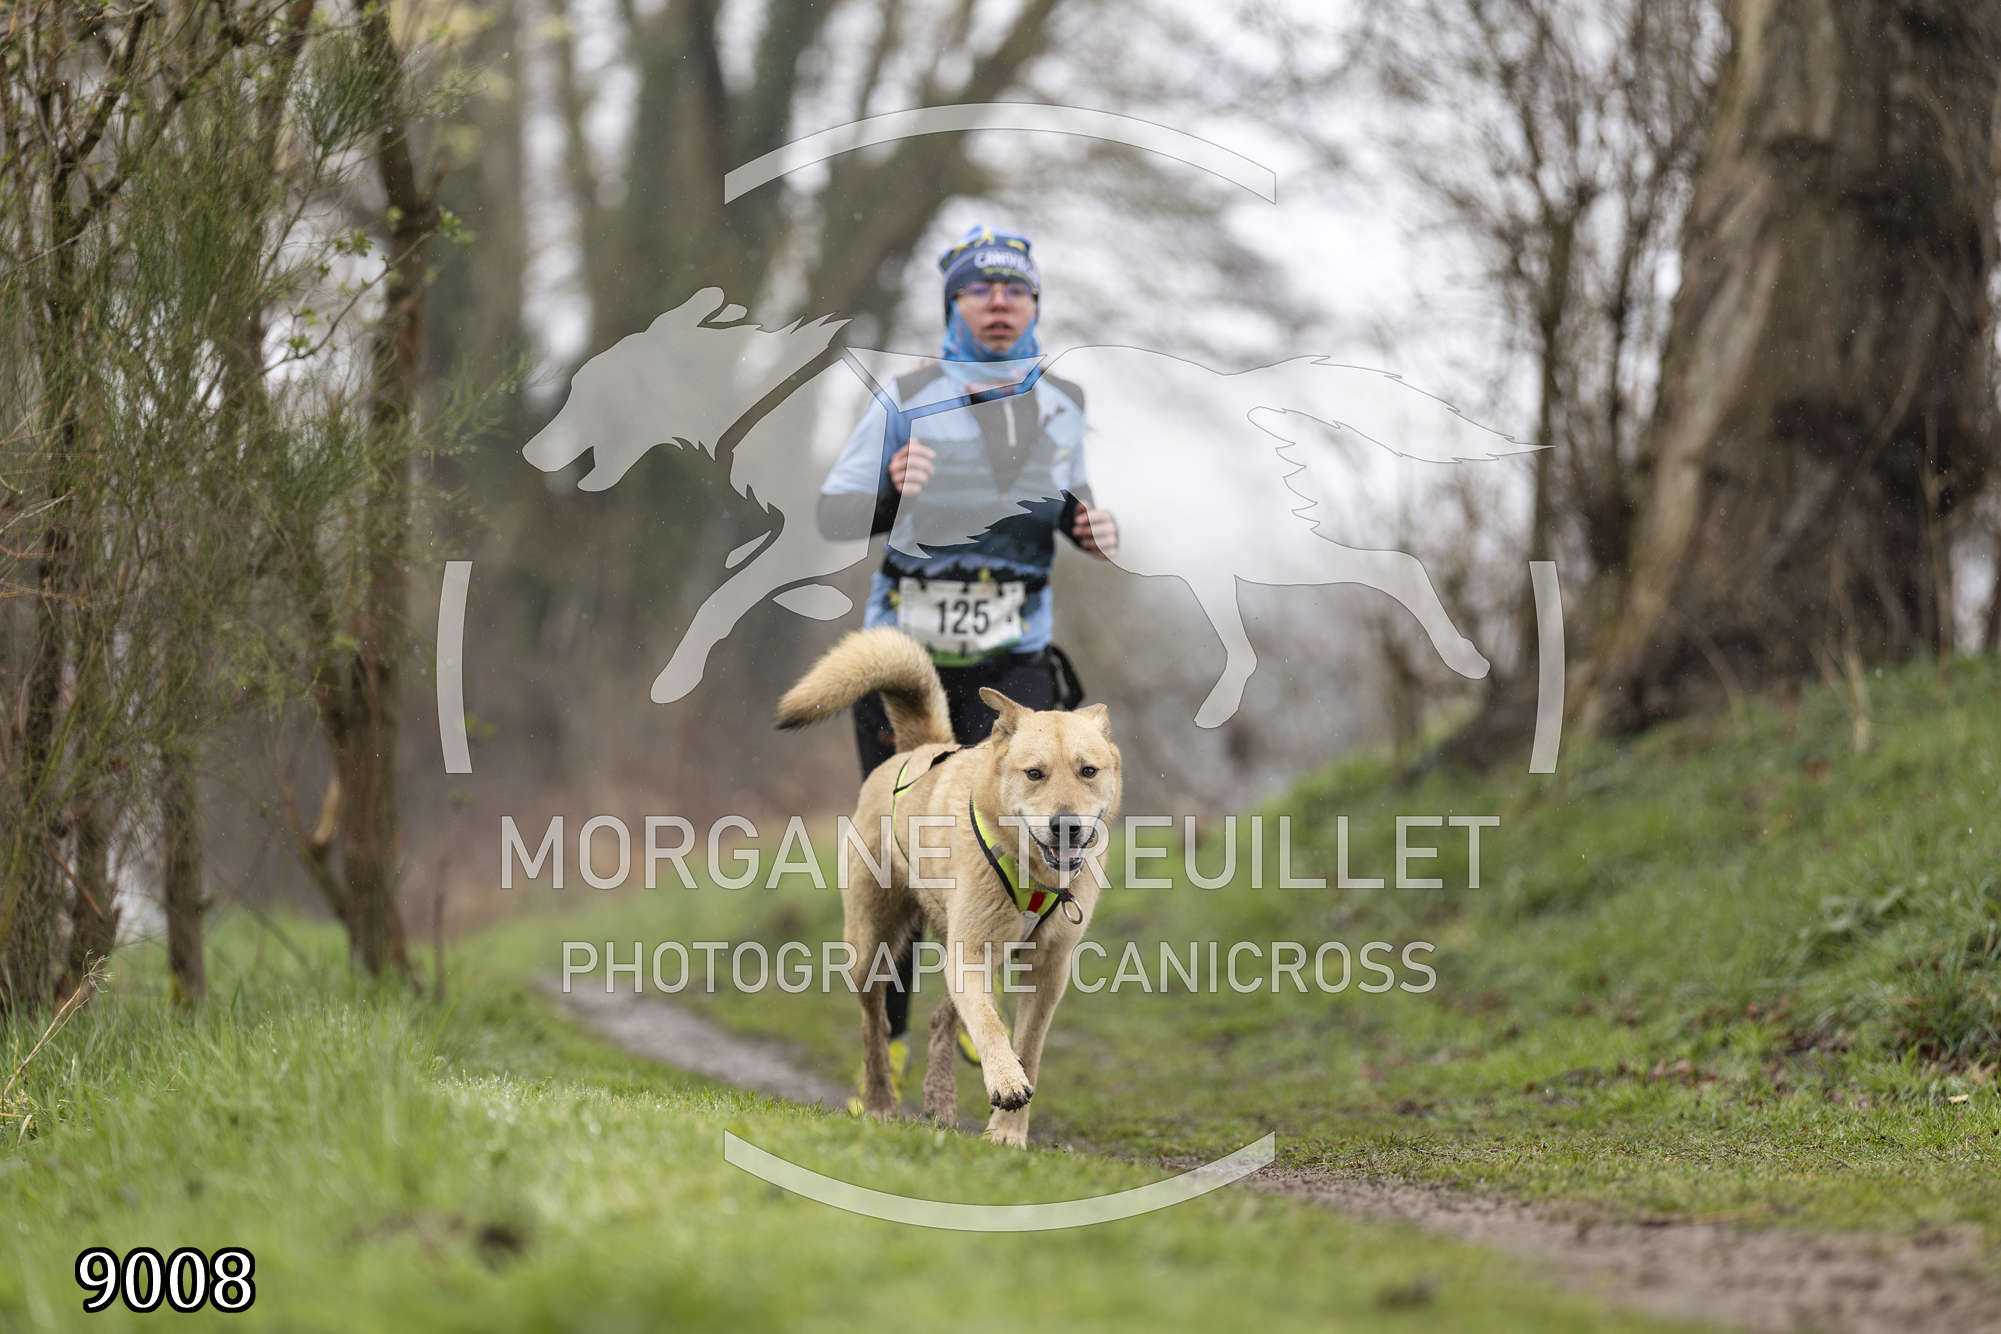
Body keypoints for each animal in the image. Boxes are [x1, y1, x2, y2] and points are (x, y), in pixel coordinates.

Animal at [777, 628, 1121, 1146]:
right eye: (1034, 773)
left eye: (1088, 771)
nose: (1067, 827)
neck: (1033, 875)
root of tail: (922, 746)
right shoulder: (971, 951)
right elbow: (989, 1025)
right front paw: (1006, 1082)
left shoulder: (1048, 969)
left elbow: (1027, 1045)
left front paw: (1008, 1131)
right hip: (870, 947)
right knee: (875, 1024)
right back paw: (879, 1102)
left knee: (942, 1019)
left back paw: (940, 1100)